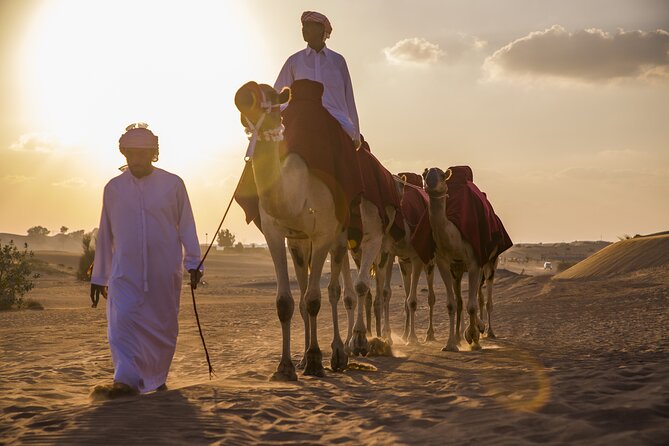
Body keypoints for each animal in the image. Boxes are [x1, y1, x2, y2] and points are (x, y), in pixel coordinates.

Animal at [422, 167, 500, 352]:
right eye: (424, 175)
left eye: (442, 175)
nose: (430, 182)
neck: (455, 236)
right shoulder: (444, 263)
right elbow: (452, 304)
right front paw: (451, 344)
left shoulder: (474, 262)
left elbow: (472, 305)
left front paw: (474, 339)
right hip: (459, 271)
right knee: (463, 300)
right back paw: (462, 336)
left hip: (490, 263)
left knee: (486, 298)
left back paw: (488, 331)